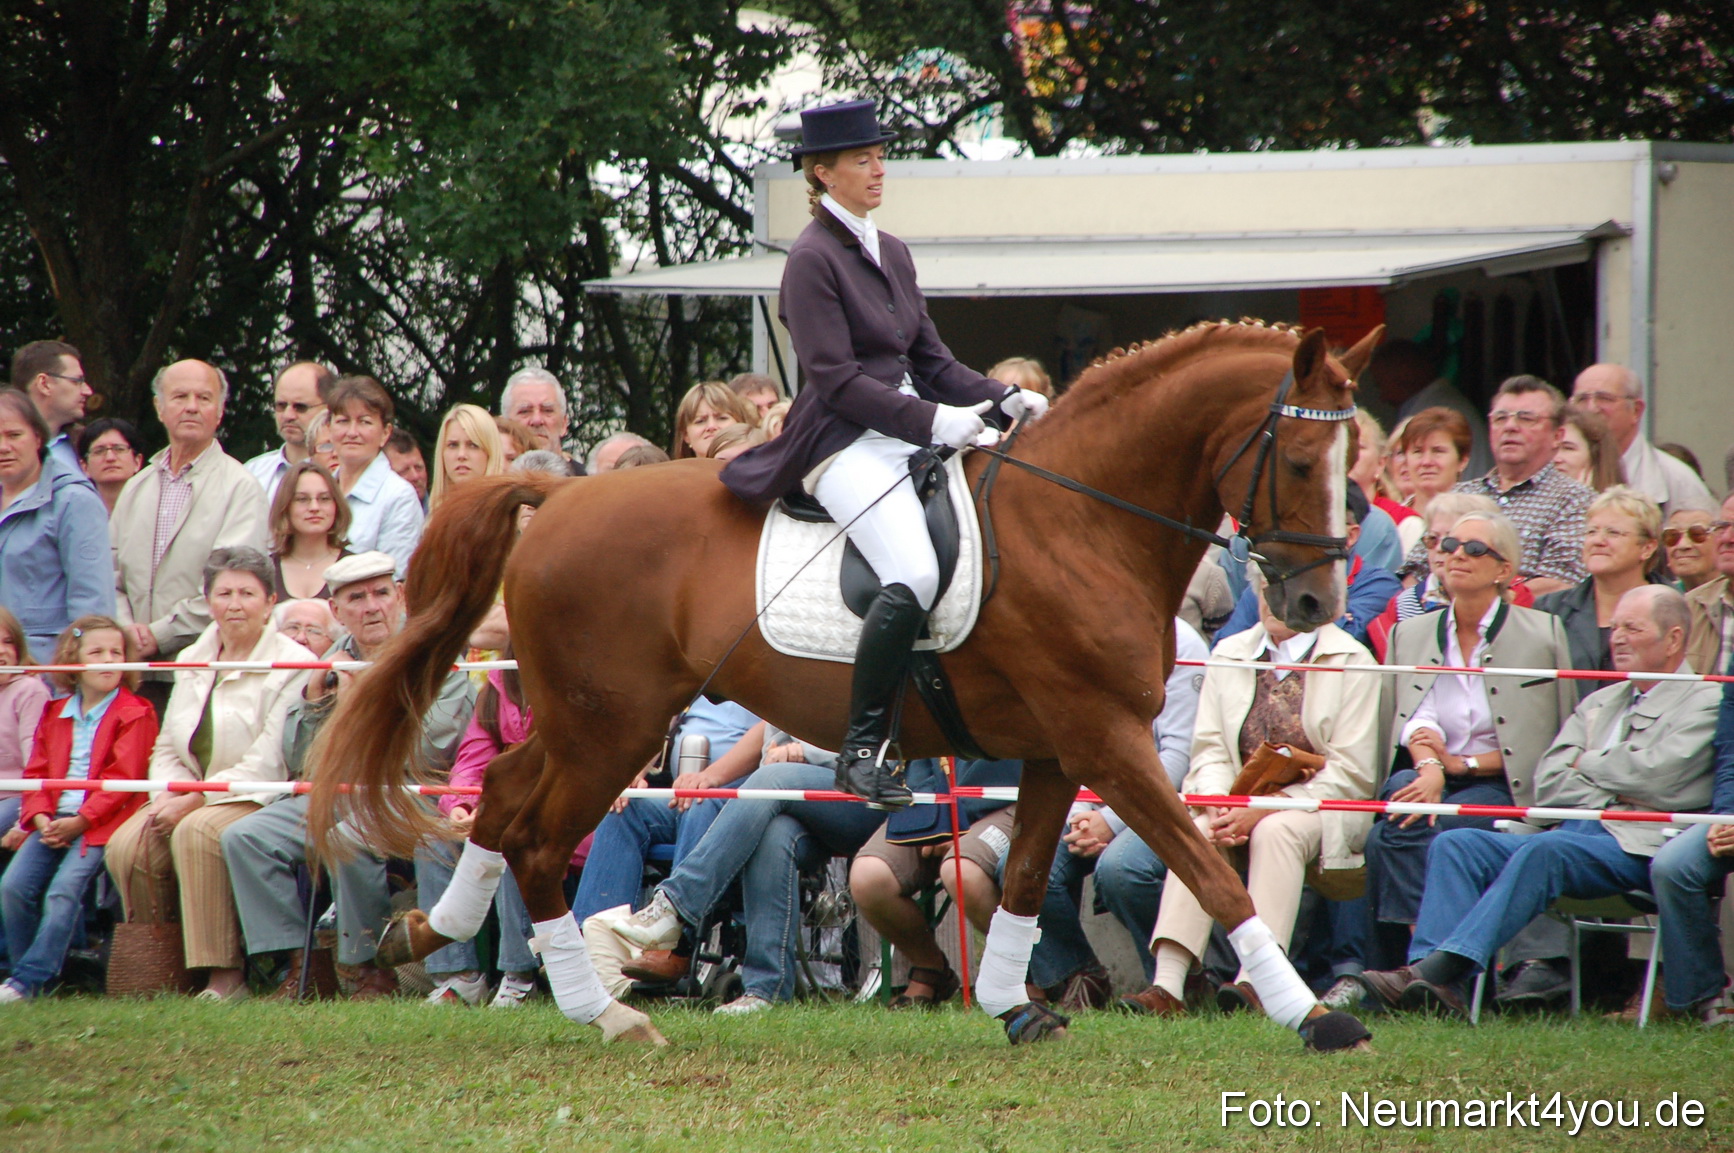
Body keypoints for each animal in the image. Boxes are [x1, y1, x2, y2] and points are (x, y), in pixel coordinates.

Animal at [308, 319, 1380, 1049]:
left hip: (591, 720)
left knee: (500, 797)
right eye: (1299, 458)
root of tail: (559, 495)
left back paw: (435, 932)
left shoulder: (1057, 748)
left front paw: (1011, 1008)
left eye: (1352, 463)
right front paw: (1313, 1017)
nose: (1316, 596)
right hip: (609, 726)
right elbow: (1207, 868)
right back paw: (605, 1013)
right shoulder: (1103, 738)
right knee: (531, 833)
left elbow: (1023, 875)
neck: (1080, 520)